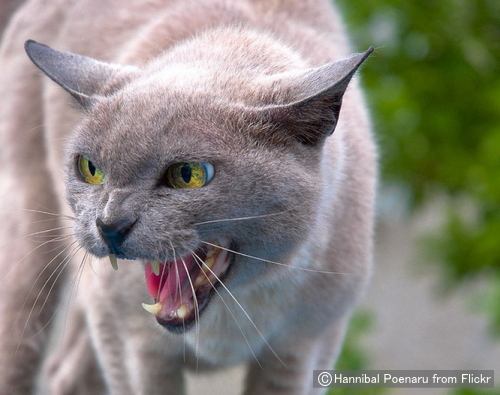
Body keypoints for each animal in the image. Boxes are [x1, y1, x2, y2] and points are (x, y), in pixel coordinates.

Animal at [0, 0, 376, 395]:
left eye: (188, 175)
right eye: (90, 169)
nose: (109, 225)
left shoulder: (304, 351)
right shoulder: (133, 347)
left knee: (66, 370)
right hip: (32, 258)